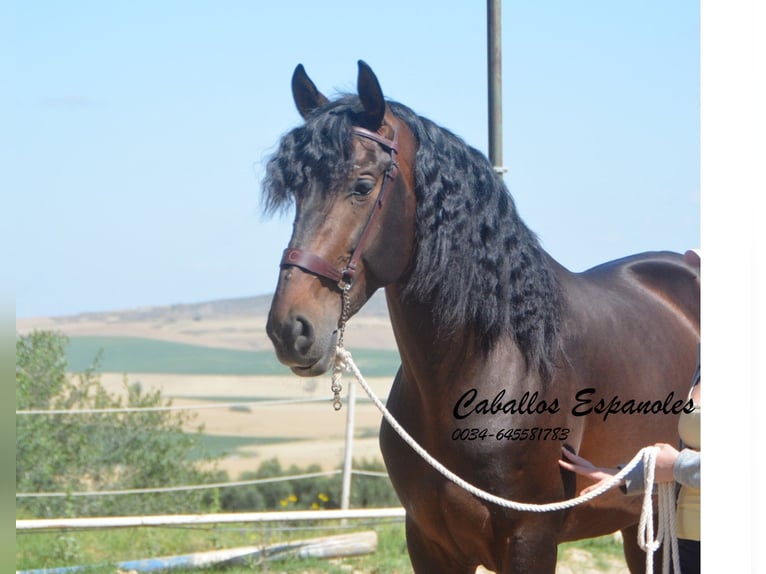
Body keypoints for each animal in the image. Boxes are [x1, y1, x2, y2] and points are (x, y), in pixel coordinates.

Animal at [264, 60, 704, 572]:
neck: (489, 365)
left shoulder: (531, 541)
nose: (289, 328)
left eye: (363, 185)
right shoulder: (429, 544)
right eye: (296, 192)